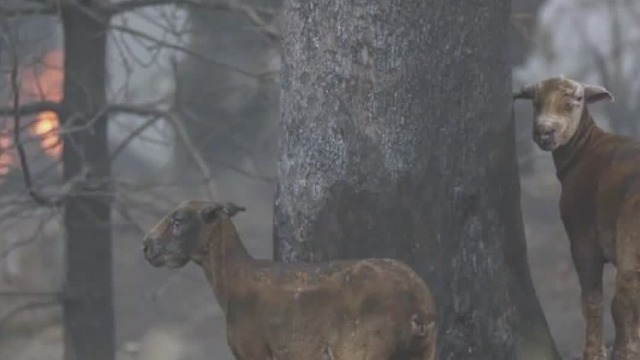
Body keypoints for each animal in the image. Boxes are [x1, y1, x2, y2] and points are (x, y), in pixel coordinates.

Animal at [142, 201, 438, 358]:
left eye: (178, 220)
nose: (145, 245)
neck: (232, 280)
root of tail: (418, 304)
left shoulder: (254, 350)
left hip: (363, 348)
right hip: (422, 350)